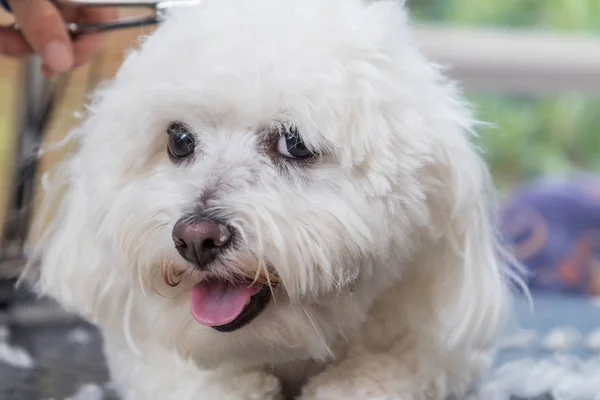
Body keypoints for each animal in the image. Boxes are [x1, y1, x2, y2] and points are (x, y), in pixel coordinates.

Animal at [28, 0, 516, 398]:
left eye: (294, 144)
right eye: (179, 140)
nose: (196, 238)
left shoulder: (434, 350)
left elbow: (381, 371)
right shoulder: (152, 359)